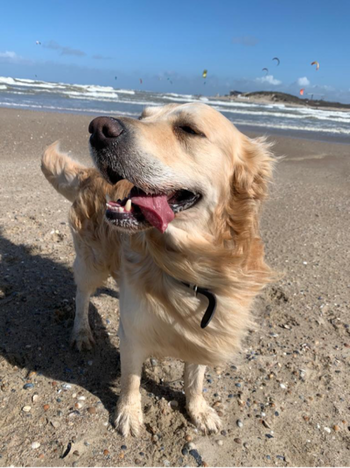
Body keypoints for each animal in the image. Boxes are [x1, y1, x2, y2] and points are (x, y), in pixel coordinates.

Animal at [41, 101, 274, 436]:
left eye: (189, 129)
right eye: (143, 116)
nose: (99, 128)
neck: (187, 263)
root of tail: (89, 174)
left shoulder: (205, 329)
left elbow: (195, 378)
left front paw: (199, 410)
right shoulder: (132, 329)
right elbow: (131, 378)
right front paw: (129, 413)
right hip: (92, 261)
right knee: (82, 296)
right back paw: (82, 332)